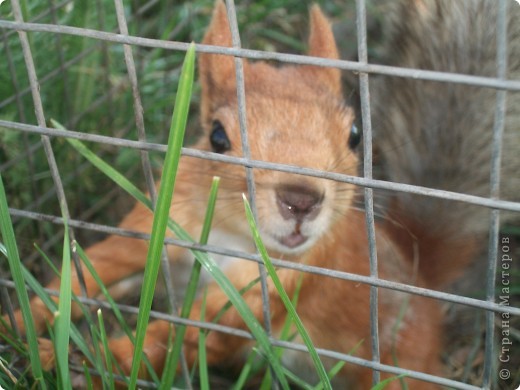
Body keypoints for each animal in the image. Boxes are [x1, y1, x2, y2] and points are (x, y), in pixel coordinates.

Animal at [2, 0, 516, 390]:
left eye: (354, 135)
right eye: (217, 136)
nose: (301, 200)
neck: (232, 239)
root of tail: (417, 277)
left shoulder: (260, 296)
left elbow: (175, 337)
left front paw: (71, 360)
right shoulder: (160, 225)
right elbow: (93, 268)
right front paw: (20, 324)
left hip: (400, 368)